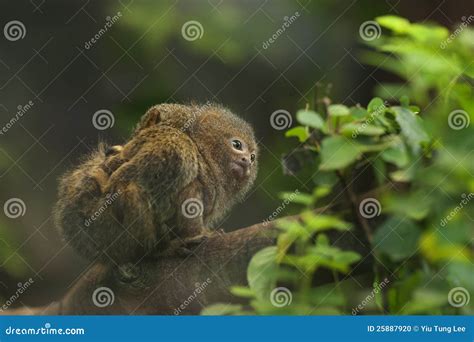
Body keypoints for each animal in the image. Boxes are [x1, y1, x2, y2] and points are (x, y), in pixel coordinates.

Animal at [54, 103, 260, 264]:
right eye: (237, 145)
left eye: (252, 156)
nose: (247, 162)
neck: (203, 155)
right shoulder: (176, 147)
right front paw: (202, 234)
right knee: (130, 190)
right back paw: (156, 251)